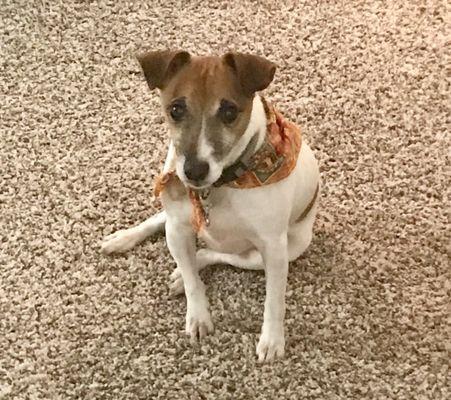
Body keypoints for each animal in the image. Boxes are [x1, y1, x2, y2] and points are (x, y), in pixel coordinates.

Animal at [102, 50, 322, 362]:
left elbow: (274, 300)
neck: (221, 185)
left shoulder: (274, 248)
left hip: (281, 250)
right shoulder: (178, 230)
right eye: (176, 109)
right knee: (165, 224)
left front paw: (272, 340)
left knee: (215, 254)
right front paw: (198, 317)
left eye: (229, 111)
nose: (194, 171)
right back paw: (126, 239)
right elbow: (193, 283)